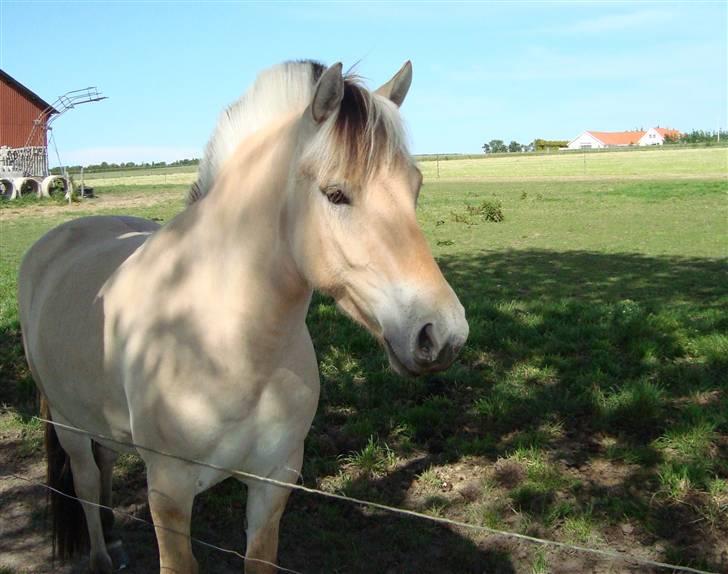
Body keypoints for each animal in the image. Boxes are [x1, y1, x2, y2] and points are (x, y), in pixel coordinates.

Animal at [18, 60, 472, 572]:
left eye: (415, 187)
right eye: (336, 194)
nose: (442, 334)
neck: (224, 346)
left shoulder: (273, 482)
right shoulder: (168, 492)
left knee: (106, 465)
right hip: (67, 422)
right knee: (86, 481)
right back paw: (100, 555)